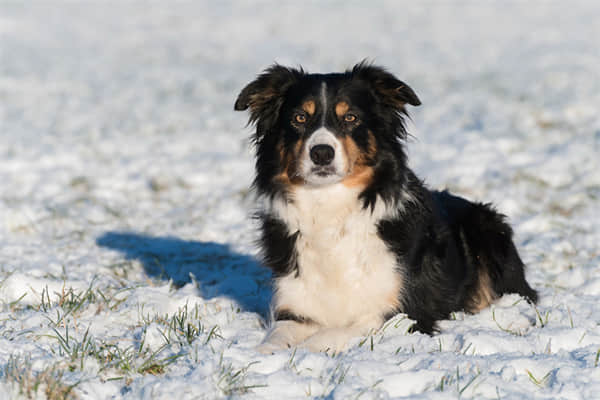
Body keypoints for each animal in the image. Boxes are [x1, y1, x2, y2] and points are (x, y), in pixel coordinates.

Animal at [234, 62, 540, 354]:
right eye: (299, 118)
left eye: (351, 117)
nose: (321, 152)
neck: (330, 208)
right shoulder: (296, 307)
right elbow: (278, 335)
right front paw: (266, 354)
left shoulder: (404, 311)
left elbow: (338, 331)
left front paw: (307, 351)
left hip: (487, 232)